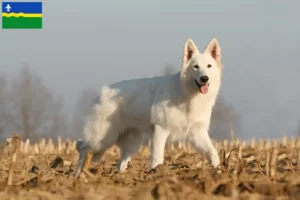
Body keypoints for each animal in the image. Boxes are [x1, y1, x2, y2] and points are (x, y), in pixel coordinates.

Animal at [75, 38, 223, 177]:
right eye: (195, 67)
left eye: (209, 66)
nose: (204, 78)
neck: (186, 95)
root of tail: (103, 91)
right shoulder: (160, 130)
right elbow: (157, 157)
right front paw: (156, 173)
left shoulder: (198, 133)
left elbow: (212, 151)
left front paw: (219, 170)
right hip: (102, 139)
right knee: (83, 148)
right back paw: (78, 175)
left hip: (132, 143)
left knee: (121, 162)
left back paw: (120, 175)